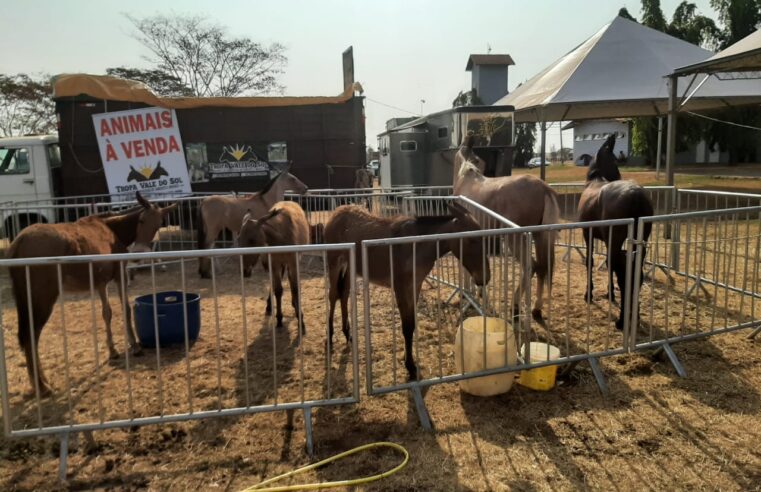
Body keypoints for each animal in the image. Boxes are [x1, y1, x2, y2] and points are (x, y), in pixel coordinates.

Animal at [7, 192, 177, 396]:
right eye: (142, 220)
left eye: (159, 224)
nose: (138, 254)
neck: (112, 230)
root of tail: (18, 243)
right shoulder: (120, 274)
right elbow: (125, 309)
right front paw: (135, 346)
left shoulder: (100, 283)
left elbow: (107, 313)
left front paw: (112, 351)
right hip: (43, 298)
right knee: (31, 335)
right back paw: (41, 386)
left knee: (29, 336)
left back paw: (41, 381)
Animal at [238, 201, 308, 334]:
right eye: (238, 239)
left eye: (251, 240)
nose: (245, 270)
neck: (281, 237)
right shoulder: (274, 264)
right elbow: (278, 290)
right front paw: (279, 318)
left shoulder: (293, 262)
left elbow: (295, 288)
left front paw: (300, 318)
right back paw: (270, 305)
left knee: (290, 280)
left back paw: (293, 303)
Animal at [320, 202, 486, 378]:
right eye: (471, 240)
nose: (485, 277)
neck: (417, 246)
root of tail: (338, 211)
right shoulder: (400, 288)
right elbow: (406, 327)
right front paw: (410, 366)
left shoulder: (415, 286)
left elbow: (411, 323)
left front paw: (409, 360)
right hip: (334, 264)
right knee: (333, 295)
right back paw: (330, 336)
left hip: (350, 268)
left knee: (344, 294)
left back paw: (347, 333)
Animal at [452, 135, 560, 320]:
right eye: (480, 161)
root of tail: (544, 188)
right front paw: (477, 292)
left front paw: (467, 293)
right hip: (539, 236)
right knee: (542, 268)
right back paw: (536, 309)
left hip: (515, 238)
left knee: (530, 266)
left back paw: (515, 306)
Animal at [576, 134, 652, 330]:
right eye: (615, 160)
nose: (618, 175)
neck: (595, 179)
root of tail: (635, 194)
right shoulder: (606, 238)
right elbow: (609, 264)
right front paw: (610, 293)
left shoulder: (587, 234)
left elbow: (590, 261)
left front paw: (589, 293)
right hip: (640, 240)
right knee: (635, 273)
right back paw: (635, 315)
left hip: (618, 239)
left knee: (624, 274)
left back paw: (622, 320)